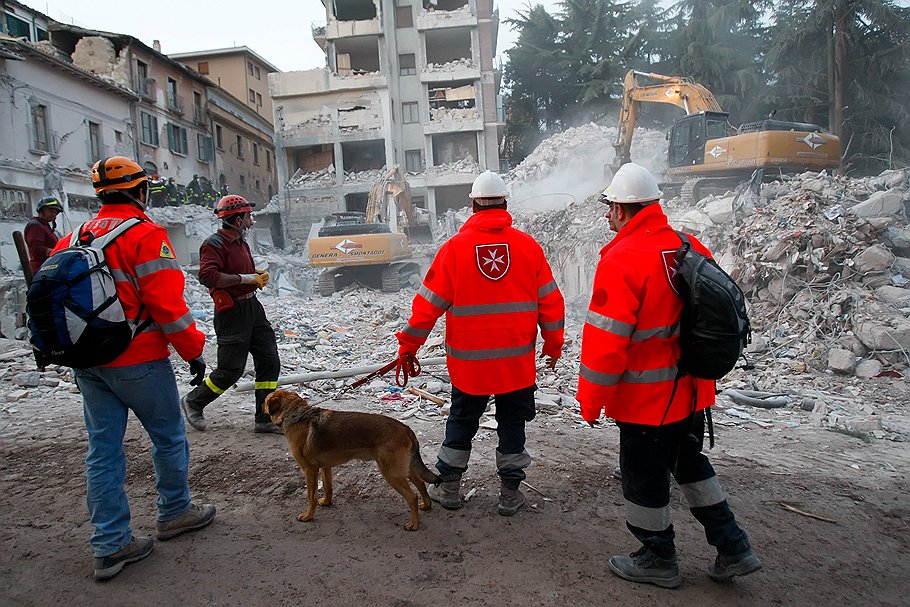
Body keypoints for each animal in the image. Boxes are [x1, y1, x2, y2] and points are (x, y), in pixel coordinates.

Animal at [264, 392, 442, 528]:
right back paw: (427, 505)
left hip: (392, 473)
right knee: (420, 483)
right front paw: (326, 502)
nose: (260, 406)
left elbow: (311, 496)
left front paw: (308, 515)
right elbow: (328, 488)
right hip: (404, 469)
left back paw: (414, 524)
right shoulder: (325, 467)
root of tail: (407, 429)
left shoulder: (309, 470)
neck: (296, 414)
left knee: (412, 496)